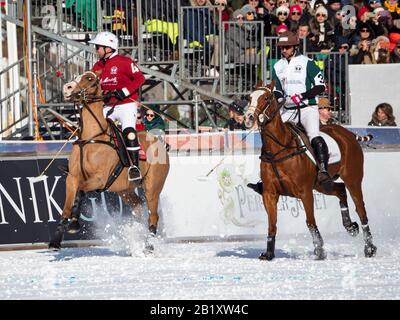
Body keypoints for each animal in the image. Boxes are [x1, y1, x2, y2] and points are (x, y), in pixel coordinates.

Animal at [48, 70, 170, 250]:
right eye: (77, 76)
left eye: (90, 78)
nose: (67, 88)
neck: (91, 137)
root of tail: (161, 142)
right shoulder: (72, 178)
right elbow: (66, 208)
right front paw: (56, 240)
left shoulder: (100, 179)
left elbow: (81, 192)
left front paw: (74, 224)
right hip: (124, 189)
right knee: (138, 206)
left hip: (152, 187)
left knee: (153, 216)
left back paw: (148, 246)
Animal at [244, 82, 378, 260]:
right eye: (249, 97)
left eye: (266, 98)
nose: (249, 117)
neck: (279, 150)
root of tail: (348, 133)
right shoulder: (269, 193)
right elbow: (272, 224)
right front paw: (269, 253)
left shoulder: (305, 192)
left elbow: (310, 222)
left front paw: (319, 250)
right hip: (322, 184)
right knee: (340, 190)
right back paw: (350, 226)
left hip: (353, 179)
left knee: (361, 208)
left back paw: (369, 248)